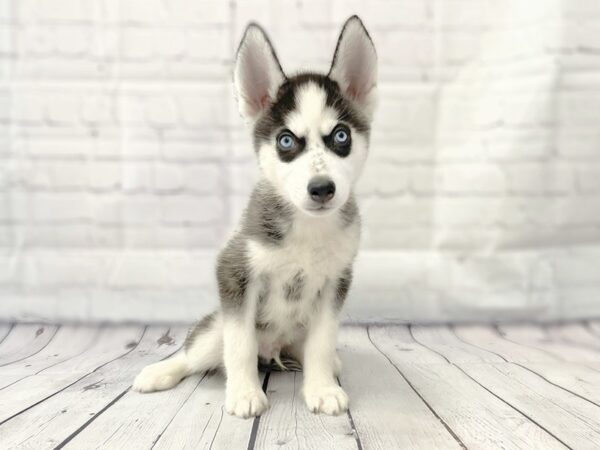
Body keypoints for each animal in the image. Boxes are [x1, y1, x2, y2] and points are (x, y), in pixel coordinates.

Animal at [134, 16, 378, 418]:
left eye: (341, 136)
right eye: (286, 141)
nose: (322, 189)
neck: (307, 230)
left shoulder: (335, 283)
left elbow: (322, 343)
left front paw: (322, 387)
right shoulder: (234, 271)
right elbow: (240, 345)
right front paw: (245, 393)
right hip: (214, 327)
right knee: (195, 351)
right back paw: (160, 372)